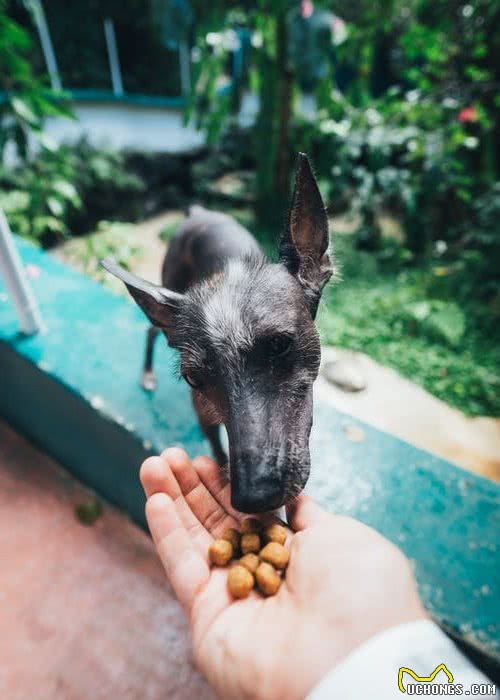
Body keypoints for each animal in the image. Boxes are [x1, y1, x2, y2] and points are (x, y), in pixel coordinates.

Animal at [102, 153, 334, 516]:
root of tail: (198, 213)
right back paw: (147, 373)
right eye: (193, 378)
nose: (253, 497)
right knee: (152, 331)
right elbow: (217, 450)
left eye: (279, 345)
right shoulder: (203, 414)